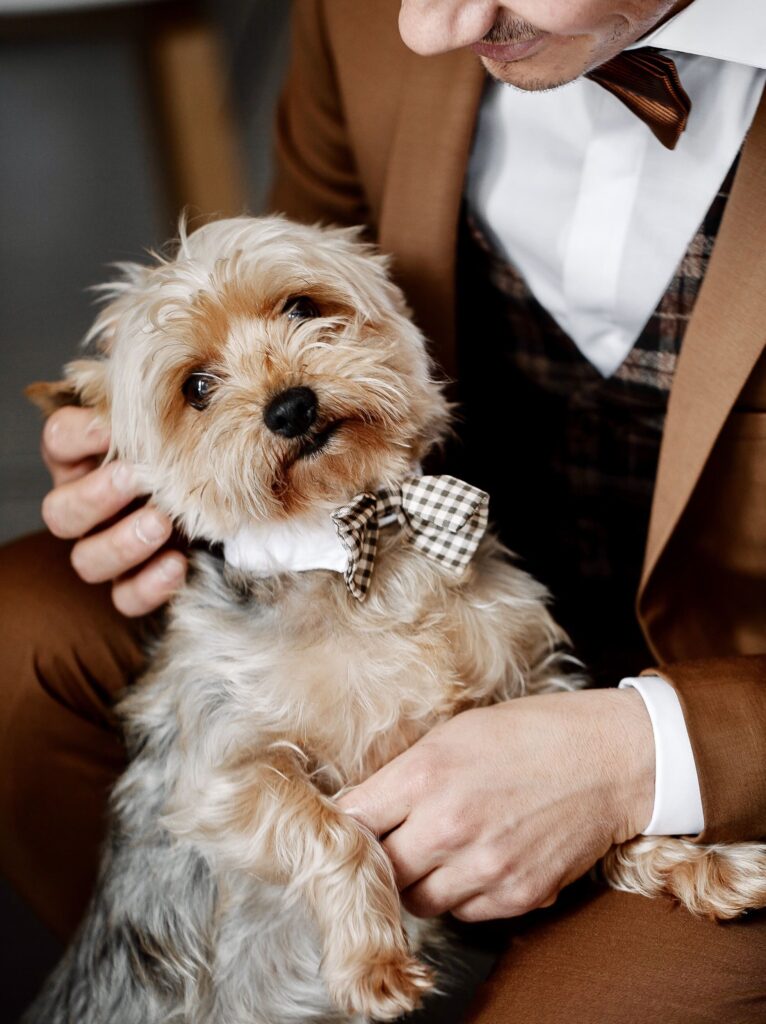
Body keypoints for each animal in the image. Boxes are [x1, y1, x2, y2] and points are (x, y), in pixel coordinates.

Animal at [26, 216, 766, 1024]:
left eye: (301, 307)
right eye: (196, 388)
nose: (290, 407)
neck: (362, 550)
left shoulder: (528, 685)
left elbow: (599, 804)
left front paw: (699, 864)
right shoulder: (219, 775)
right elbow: (330, 827)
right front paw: (373, 962)